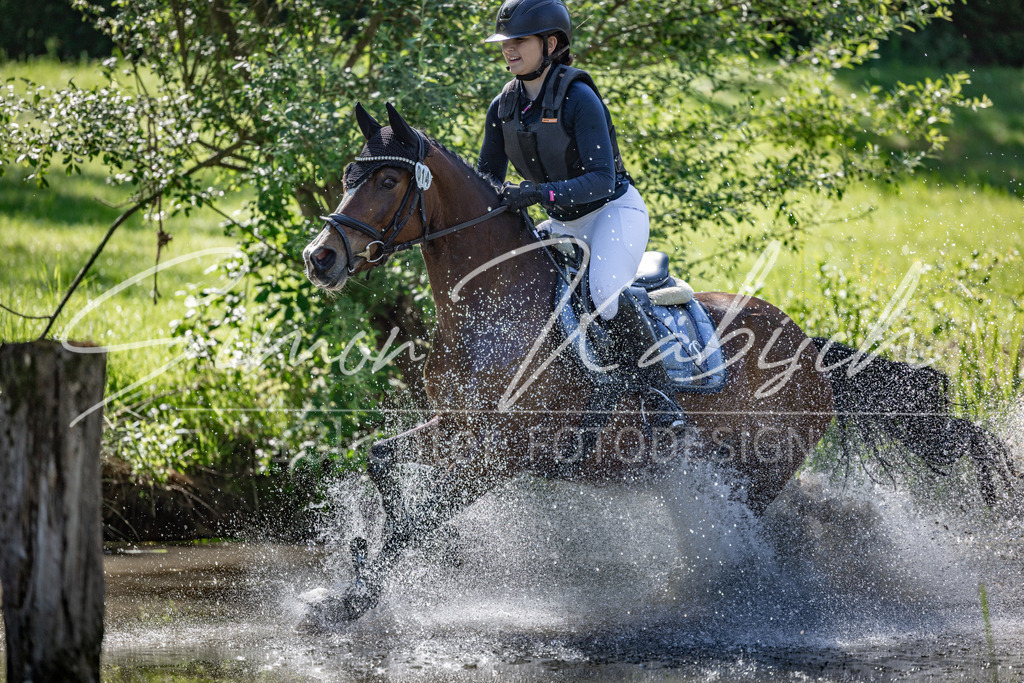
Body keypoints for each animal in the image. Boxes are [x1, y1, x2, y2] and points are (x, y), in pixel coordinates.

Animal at [301, 103, 1018, 623]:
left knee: (747, 541)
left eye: (388, 179)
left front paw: (362, 591)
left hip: (756, 470)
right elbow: (383, 461)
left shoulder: (505, 450)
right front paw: (352, 580)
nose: (320, 257)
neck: (492, 307)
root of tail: (810, 350)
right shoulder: (458, 426)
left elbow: (422, 516)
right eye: (349, 173)